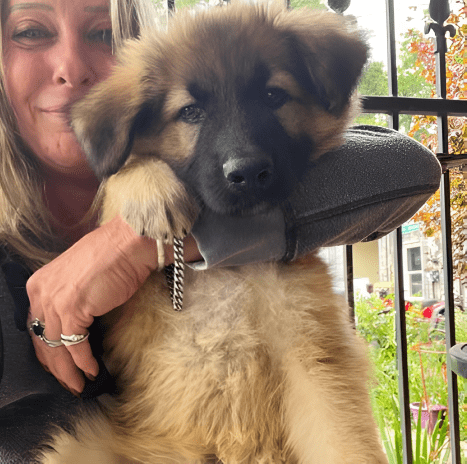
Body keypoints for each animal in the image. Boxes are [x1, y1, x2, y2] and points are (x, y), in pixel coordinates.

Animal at [41, 3, 392, 464]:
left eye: (272, 96)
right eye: (191, 112)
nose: (248, 172)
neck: (231, 274)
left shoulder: (314, 361)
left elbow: (346, 442)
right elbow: (121, 176)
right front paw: (149, 190)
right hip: (79, 445)